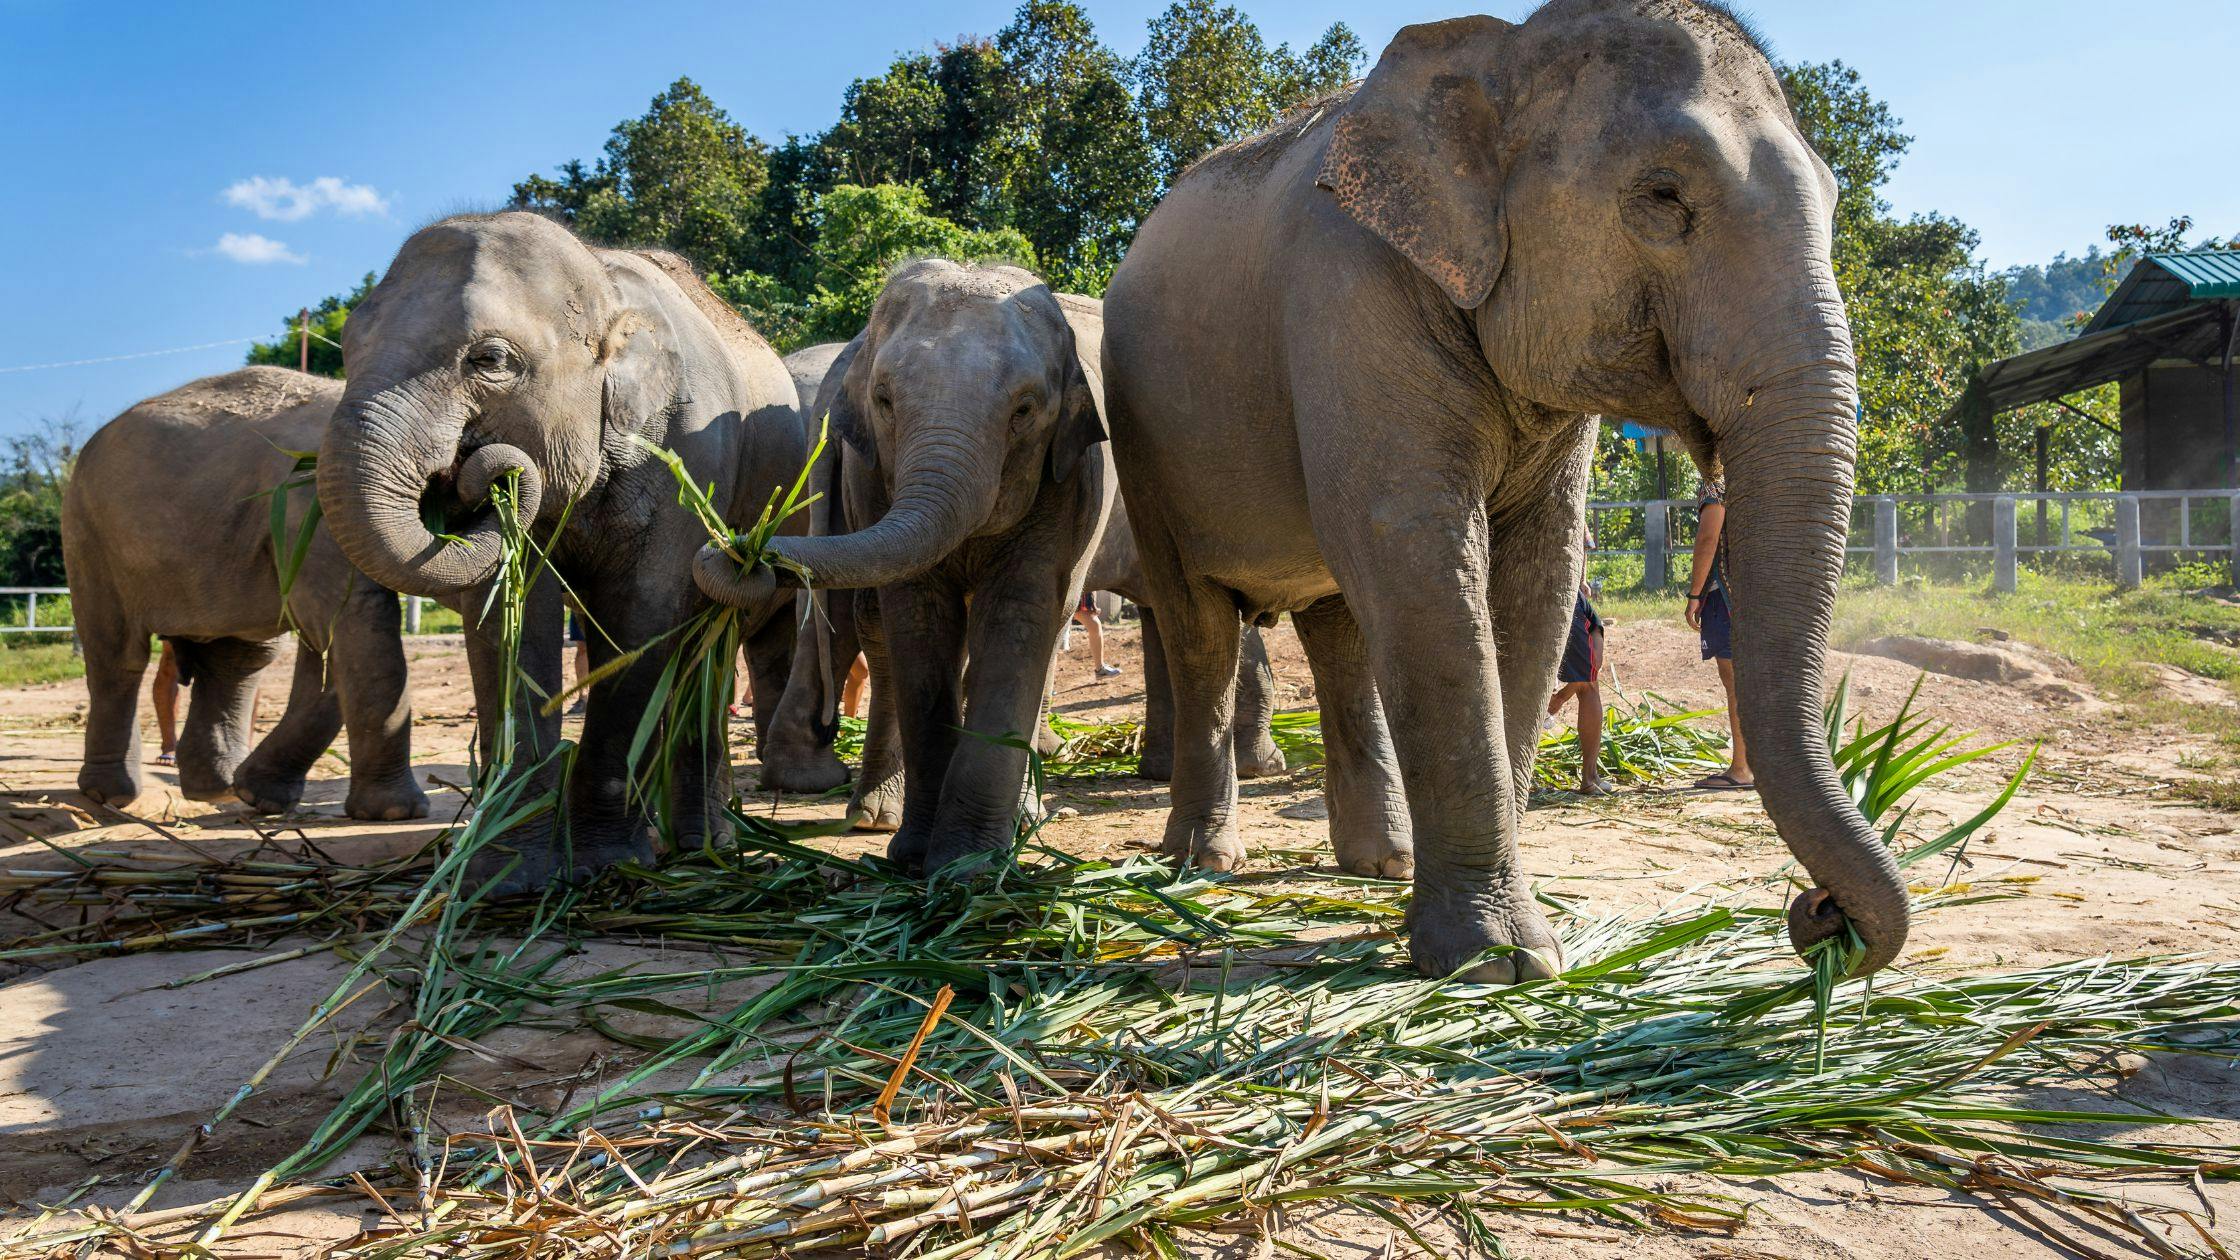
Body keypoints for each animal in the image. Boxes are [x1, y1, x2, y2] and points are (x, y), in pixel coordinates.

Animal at [61, 367, 429, 821]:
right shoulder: (317, 506)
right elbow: (349, 620)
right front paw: (396, 813)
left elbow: (328, 643)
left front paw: (261, 797)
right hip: (88, 534)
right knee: (117, 655)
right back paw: (109, 796)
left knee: (238, 659)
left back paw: (217, 789)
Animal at [315, 211, 808, 891]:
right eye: (349, 343)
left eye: (490, 360)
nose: (480, 473)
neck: (603, 285)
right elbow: (510, 620)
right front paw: (507, 876)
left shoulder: (692, 459)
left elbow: (643, 616)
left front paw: (606, 864)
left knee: (707, 647)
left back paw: (701, 849)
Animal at [695, 261, 1110, 873]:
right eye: (885, 400)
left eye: (1025, 410)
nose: (742, 552)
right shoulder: (870, 477)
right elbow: (917, 618)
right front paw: (921, 858)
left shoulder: (1066, 481)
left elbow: (1018, 616)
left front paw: (968, 864)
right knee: (874, 625)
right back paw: (873, 814)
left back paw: (1021, 819)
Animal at [1100, 0, 1908, 982]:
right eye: (1663, 197)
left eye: (1832, 202)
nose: (1818, 916)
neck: (1502, 52)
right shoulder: (1346, 296)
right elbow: (1418, 550)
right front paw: (1494, 961)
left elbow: (1539, 573)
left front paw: (1517, 945)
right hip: (1146, 446)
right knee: (1202, 628)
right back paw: (1202, 863)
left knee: (1337, 627)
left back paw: (1381, 861)